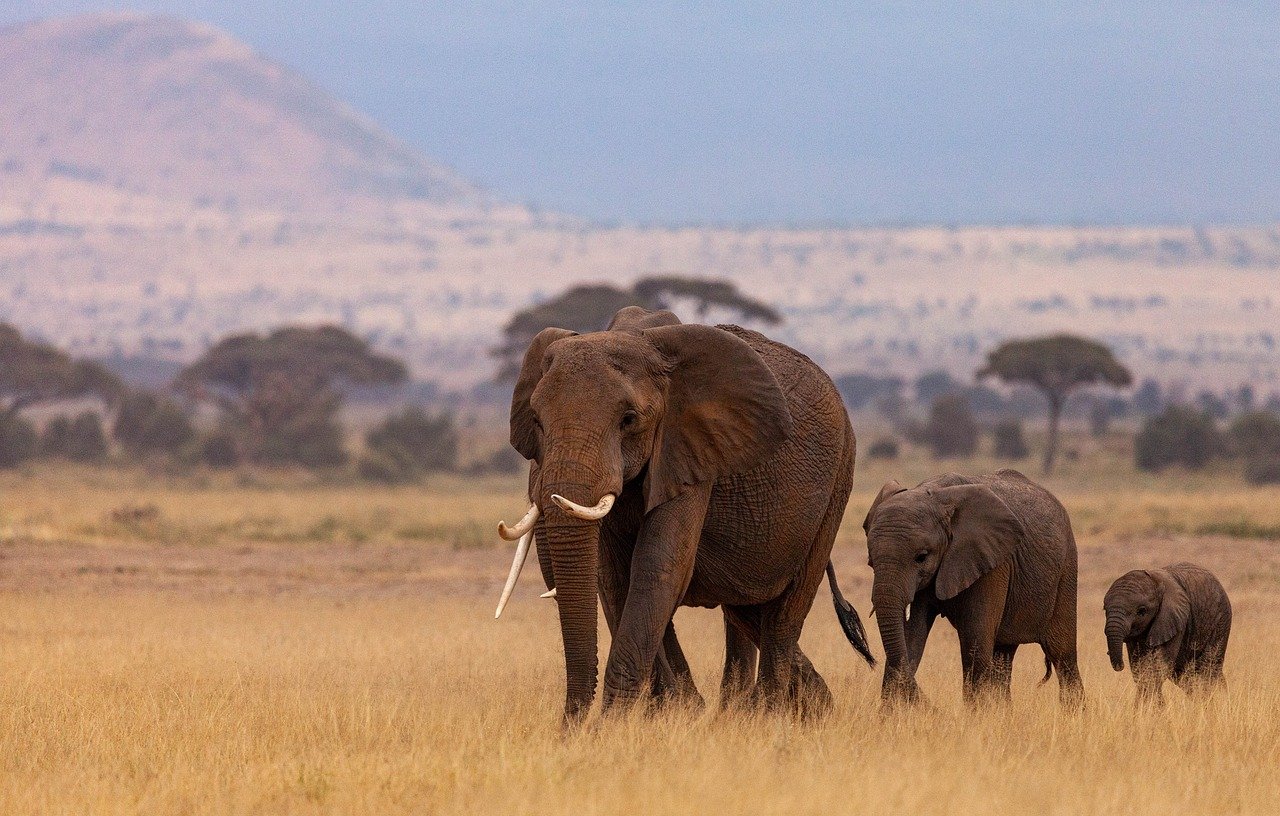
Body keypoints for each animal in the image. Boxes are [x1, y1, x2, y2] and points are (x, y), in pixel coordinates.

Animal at [488, 309, 870, 726]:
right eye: (537, 421)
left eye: (628, 419)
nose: (570, 728)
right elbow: (615, 577)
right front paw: (673, 713)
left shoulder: (691, 452)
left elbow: (658, 567)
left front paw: (614, 726)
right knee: (746, 609)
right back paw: (799, 708)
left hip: (838, 481)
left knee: (785, 613)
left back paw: (767, 717)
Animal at [860, 473, 1080, 711]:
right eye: (871, 560)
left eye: (922, 557)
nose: (935, 709)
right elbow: (910, 637)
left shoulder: (992, 562)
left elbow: (975, 639)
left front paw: (977, 716)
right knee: (1003, 654)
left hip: (1067, 568)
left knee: (1062, 653)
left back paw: (1074, 713)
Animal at [1100, 562, 1228, 706]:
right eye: (1105, 609)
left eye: (1141, 611)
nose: (1120, 666)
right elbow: (1139, 668)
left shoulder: (1175, 619)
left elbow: (1156, 667)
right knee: (1186, 677)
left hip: (1221, 622)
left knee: (1208, 669)